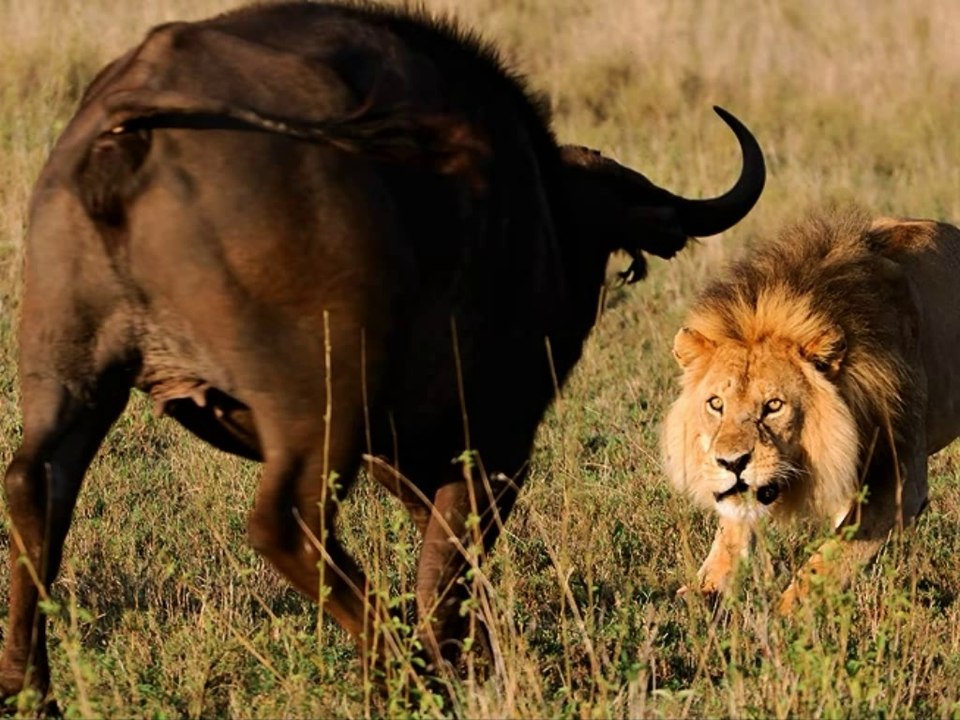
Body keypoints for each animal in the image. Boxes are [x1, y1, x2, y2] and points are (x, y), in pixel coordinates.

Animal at [0, 0, 764, 700]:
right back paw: (403, 670)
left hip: (71, 372)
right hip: (322, 405)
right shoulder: (493, 441)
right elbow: (449, 564)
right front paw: (457, 663)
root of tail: (131, 117)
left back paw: (32, 690)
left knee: (35, 488)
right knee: (286, 523)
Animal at [662, 207, 960, 613]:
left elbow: (832, 555)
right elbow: (732, 527)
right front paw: (702, 594)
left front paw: (787, 613)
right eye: (716, 404)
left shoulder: (900, 477)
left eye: (774, 406)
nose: (732, 463)